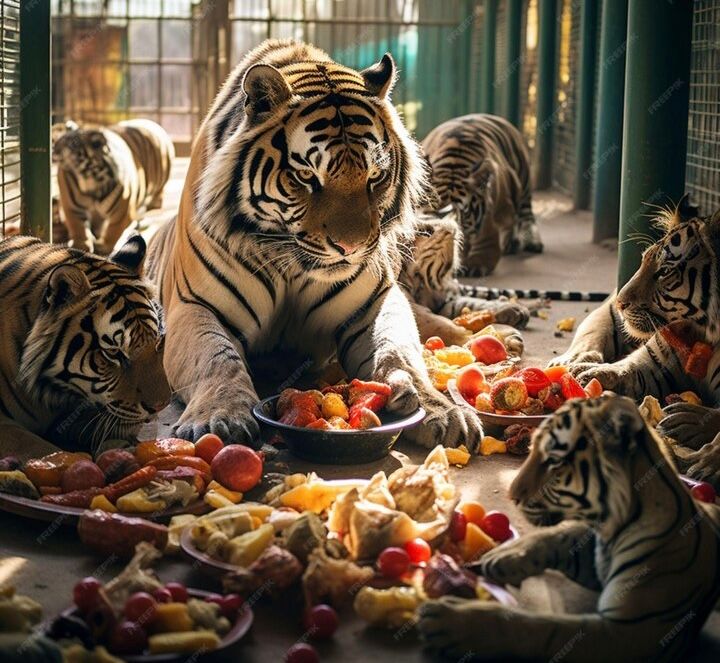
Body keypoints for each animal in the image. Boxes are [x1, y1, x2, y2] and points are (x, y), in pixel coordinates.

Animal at [53, 118, 174, 255]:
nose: (54, 149)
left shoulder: (122, 211)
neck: (89, 175)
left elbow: (114, 229)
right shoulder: (72, 206)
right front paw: (80, 244)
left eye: (73, 143)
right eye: (59, 140)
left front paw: (103, 246)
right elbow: (78, 226)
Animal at [145, 38, 482, 451]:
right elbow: (216, 358)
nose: (350, 248)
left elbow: (399, 352)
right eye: (306, 176)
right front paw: (219, 416)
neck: (289, 261)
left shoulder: (374, 303)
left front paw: (439, 408)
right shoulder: (196, 306)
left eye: (375, 176)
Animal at [418, 395, 720, 662]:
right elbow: (559, 538)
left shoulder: (631, 632)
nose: (512, 496)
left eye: (554, 461)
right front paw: (506, 556)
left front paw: (456, 622)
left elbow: (542, 629)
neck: (613, 529)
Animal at [421, 113, 542, 277]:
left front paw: (473, 265)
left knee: (525, 213)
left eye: (465, 214)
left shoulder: (487, 223)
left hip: (521, 181)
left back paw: (530, 242)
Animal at [553, 199, 720, 486]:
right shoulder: (657, 365)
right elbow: (624, 369)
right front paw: (586, 374)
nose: (621, 302)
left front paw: (702, 452)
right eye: (643, 262)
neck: (703, 331)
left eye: (664, 272)